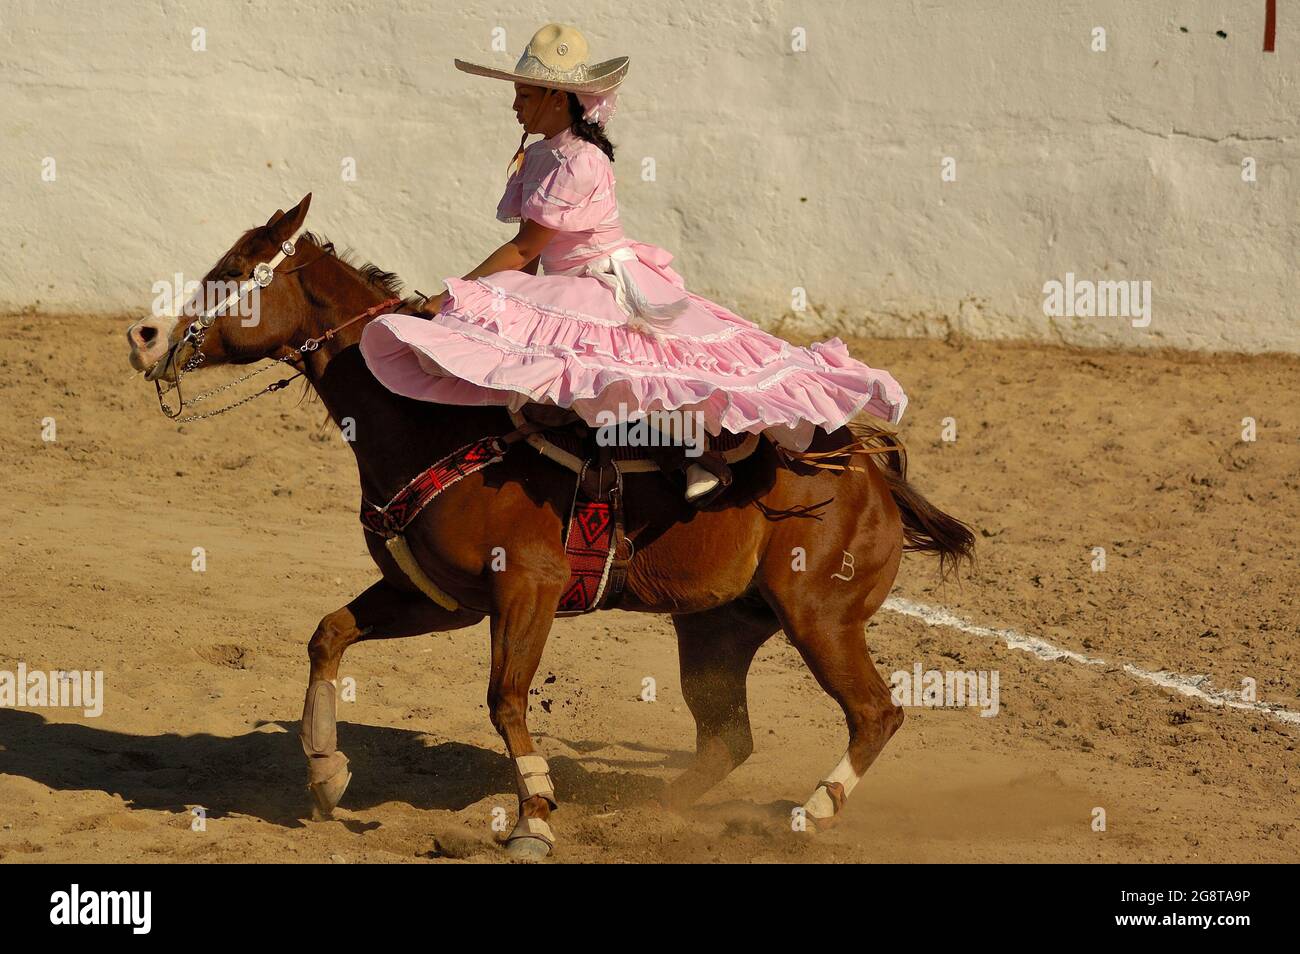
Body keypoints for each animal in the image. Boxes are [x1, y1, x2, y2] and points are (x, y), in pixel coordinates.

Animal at [124, 194, 977, 857]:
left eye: (236, 272)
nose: (146, 338)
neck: (428, 421)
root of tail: (870, 463)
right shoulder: (438, 599)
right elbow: (328, 634)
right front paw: (328, 775)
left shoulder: (526, 589)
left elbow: (505, 697)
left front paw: (534, 818)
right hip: (718, 628)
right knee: (728, 736)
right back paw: (652, 818)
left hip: (819, 615)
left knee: (875, 713)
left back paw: (809, 814)